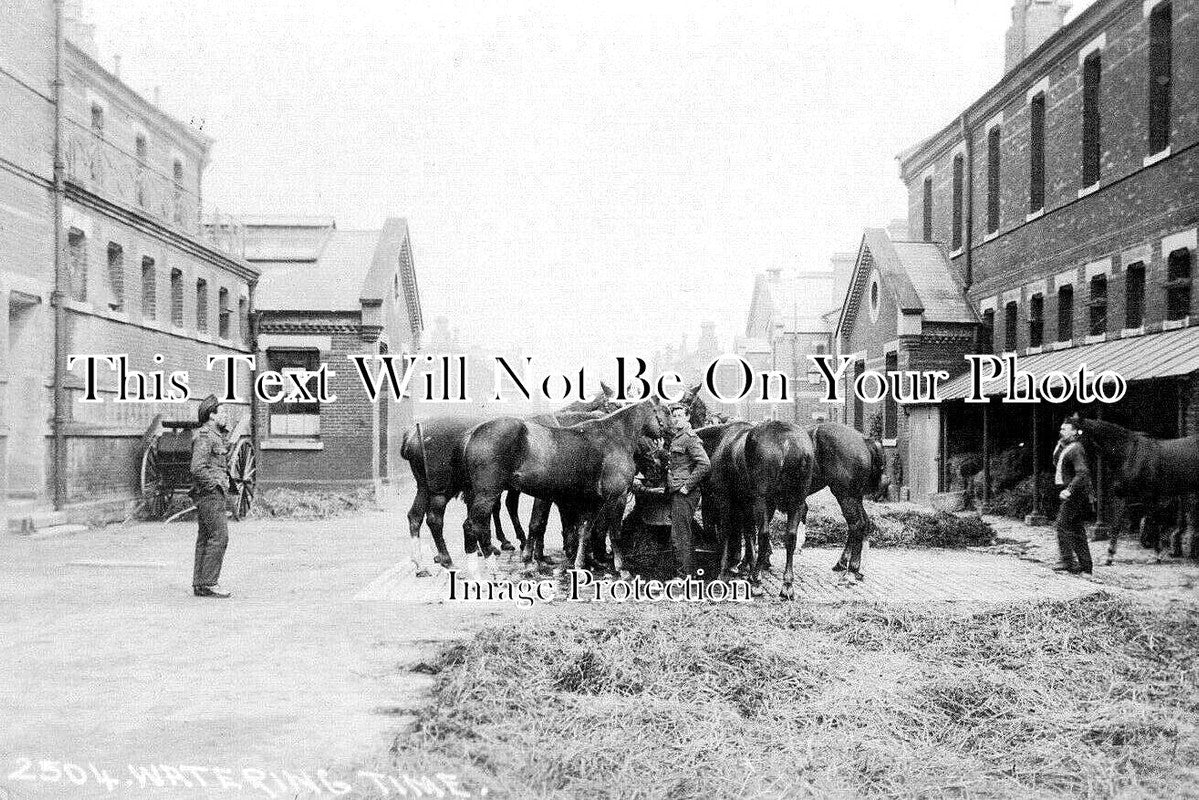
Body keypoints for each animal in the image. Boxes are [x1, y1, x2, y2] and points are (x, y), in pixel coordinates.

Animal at [458, 400, 671, 575]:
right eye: (666, 412)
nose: (661, 458)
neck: (614, 437)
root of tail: (474, 433)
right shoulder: (617, 497)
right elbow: (614, 531)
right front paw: (621, 568)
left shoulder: (592, 501)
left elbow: (584, 531)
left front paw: (579, 564)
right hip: (488, 493)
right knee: (474, 525)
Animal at [1069, 419, 1199, 563]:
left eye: (1078, 432)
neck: (1129, 454)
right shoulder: (1121, 495)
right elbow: (1116, 524)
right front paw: (1110, 556)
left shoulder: (1149, 497)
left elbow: (1153, 523)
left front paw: (1158, 554)